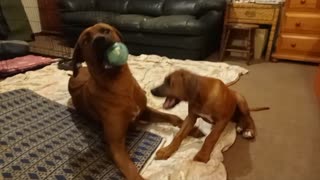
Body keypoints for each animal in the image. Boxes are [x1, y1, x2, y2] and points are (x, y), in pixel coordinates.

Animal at [68, 23, 204, 180]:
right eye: (85, 40)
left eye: (105, 30)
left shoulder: (144, 112)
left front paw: (193, 130)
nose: (99, 40)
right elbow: (130, 169)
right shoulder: (115, 145)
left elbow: (173, 117)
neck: (121, 87)